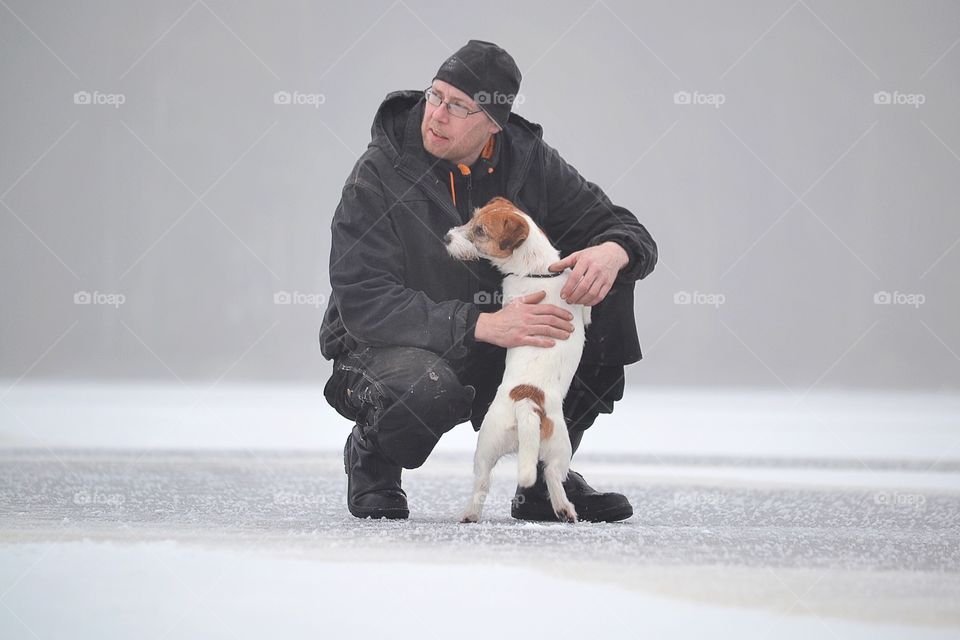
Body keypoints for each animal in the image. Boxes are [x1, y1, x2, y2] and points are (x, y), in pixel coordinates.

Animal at [444, 198, 592, 524]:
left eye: (480, 231)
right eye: (473, 220)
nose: (446, 237)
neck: (537, 270)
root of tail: (527, 399)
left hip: (491, 444)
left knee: (485, 481)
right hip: (551, 447)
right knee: (549, 476)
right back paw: (564, 509)